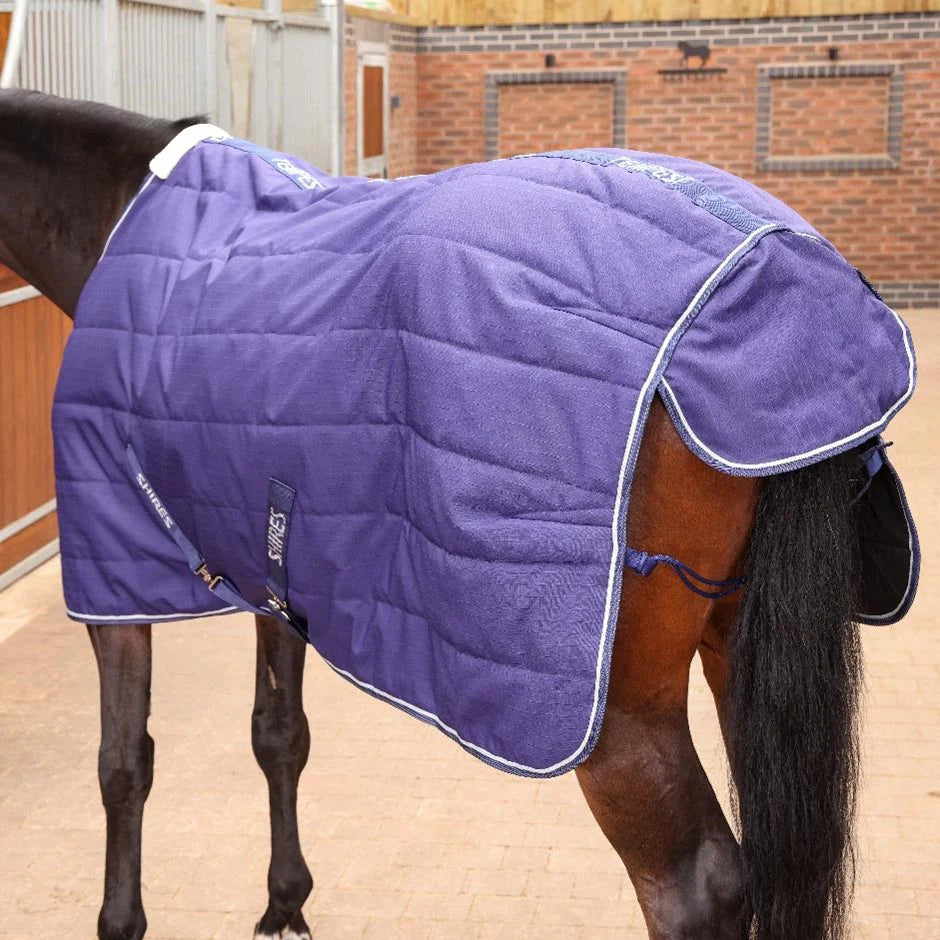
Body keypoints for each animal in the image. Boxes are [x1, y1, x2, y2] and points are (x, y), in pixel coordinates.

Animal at [0, 89, 918, 940]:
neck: (127, 220)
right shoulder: (271, 559)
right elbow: (278, 734)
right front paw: (285, 903)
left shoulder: (114, 570)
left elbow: (124, 765)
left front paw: (123, 919)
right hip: (738, 648)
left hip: (621, 718)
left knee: (697, 887)